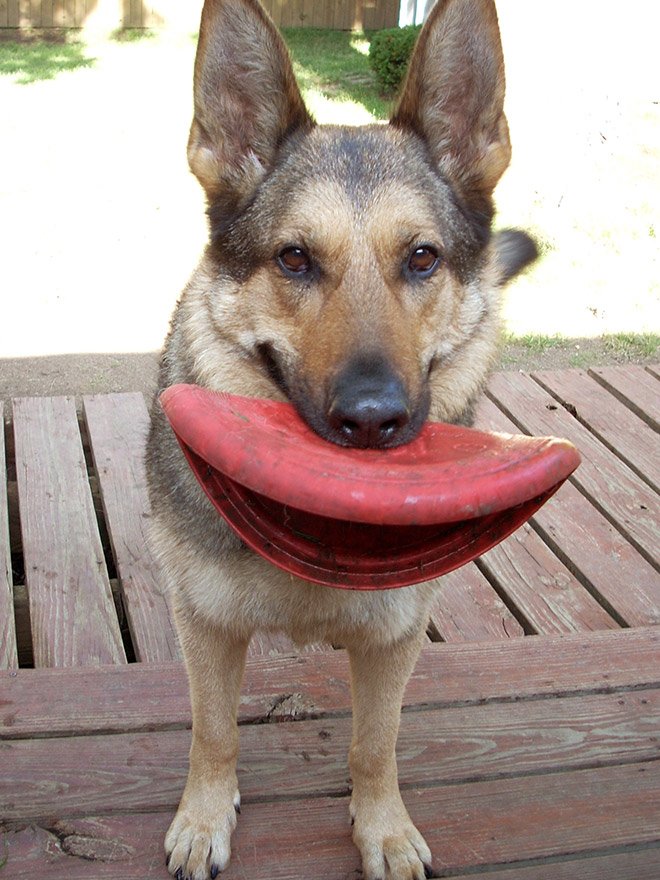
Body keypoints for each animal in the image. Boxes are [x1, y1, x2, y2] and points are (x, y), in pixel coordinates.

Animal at [146, 1, 536, 880]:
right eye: (294, 258)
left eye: (422, 258)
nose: (370, 419)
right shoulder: (207, 627)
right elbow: (213, 732)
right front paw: (204, 816)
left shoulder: (395, 641)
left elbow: (375, 745)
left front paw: (382, 828)